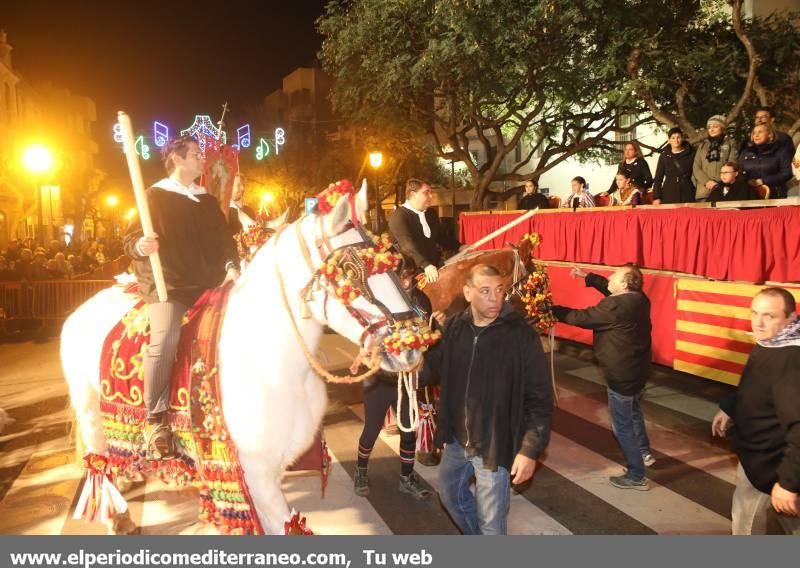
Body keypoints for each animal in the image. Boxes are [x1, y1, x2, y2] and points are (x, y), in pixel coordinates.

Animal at [61, 184, 424, 536]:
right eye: (349, 270)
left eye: (393, 264)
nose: (411, 345)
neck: (275, 369)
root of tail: (81, 309)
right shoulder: (256, 476)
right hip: (90, 409)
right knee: (99, 456)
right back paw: (118, 514)